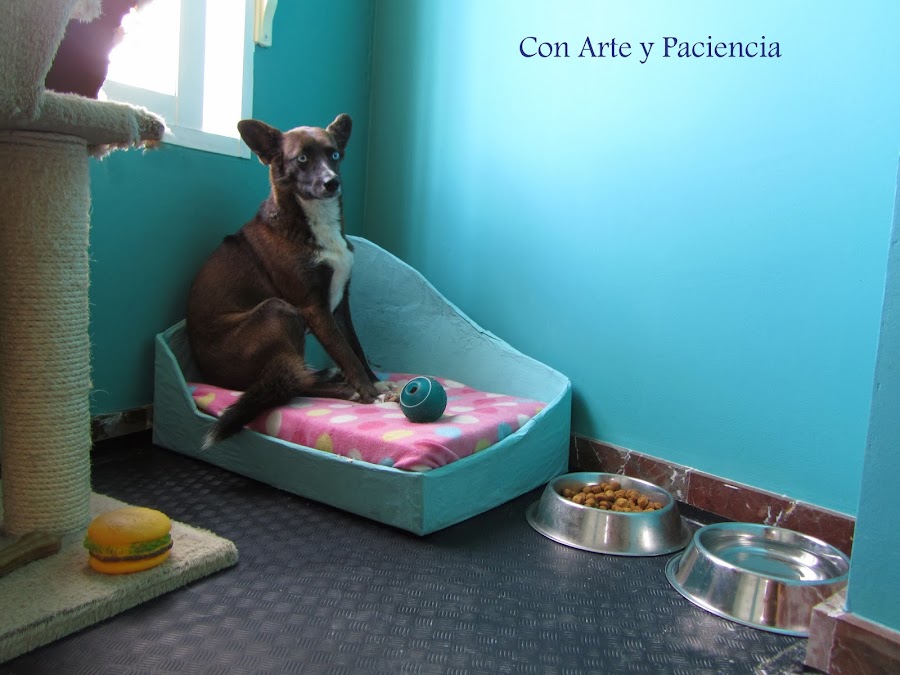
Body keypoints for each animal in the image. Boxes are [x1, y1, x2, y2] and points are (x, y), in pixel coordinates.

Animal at [186, 113, 385, 448]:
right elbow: (345, 352)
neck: (314, 220)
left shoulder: (339, 304)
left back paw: (329, 375)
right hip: (278, 311)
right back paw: (345, 390)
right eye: (302, 159)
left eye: (334, 154)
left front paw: (375, 382)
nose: (332, 183)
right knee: (296, 384)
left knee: (296, 378)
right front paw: (369, 392)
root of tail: (214, 377)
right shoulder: (313, 307)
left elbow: (355, 346)